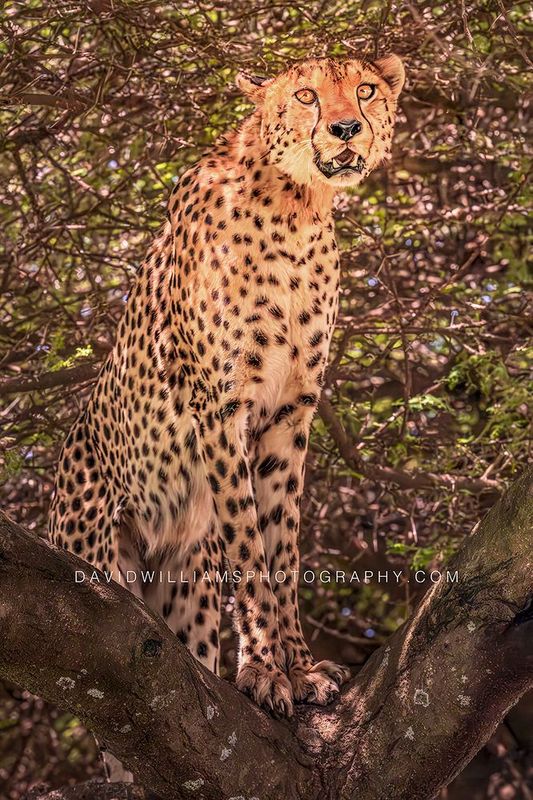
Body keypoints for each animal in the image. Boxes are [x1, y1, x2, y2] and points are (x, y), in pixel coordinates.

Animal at [49, 54, 405, 720]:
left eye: (365, 90)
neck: (300, 207)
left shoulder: (291, 414)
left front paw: (300, 667)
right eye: (306, 96)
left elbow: (283, 549)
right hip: (99, 564)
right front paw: (266, 671)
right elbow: (251, 549)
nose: (346, 128)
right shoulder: (220, 410)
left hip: (188, 577)